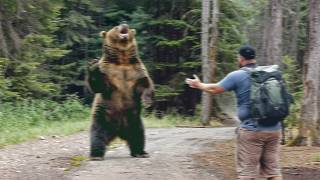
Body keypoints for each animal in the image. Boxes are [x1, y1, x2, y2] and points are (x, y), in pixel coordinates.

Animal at [86, 23, 154, 160]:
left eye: (127, 26)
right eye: (115, 27)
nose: (124, 24)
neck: (122, 59)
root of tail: (118, 132)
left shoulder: (136, 71)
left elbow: (146, 84)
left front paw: (147, 102)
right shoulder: (109, 72)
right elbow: (100, 86)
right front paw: (93, 66)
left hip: (134, 120)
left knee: (138, 135)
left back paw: (141, 152)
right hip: (103, 117)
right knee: (97, 135)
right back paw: (96, 155)